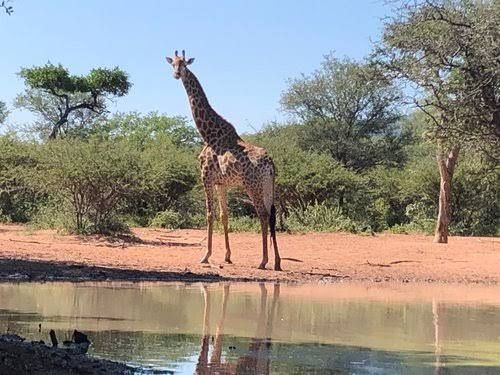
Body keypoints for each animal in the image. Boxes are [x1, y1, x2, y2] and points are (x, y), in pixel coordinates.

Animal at [165, 51, 280, 272]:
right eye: (172, 64)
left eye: (183, 64)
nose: (176, 74)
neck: (208, 134)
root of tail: (270, 164)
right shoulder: (221, 183)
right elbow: (223, 215)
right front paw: (227, 256)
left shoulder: (206, 178)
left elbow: (209, 214)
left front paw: (205, 256)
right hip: (268, 185)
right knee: (272, 215)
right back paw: (277, 262)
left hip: (252, 185)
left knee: (262, 214)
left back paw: (263, 261)